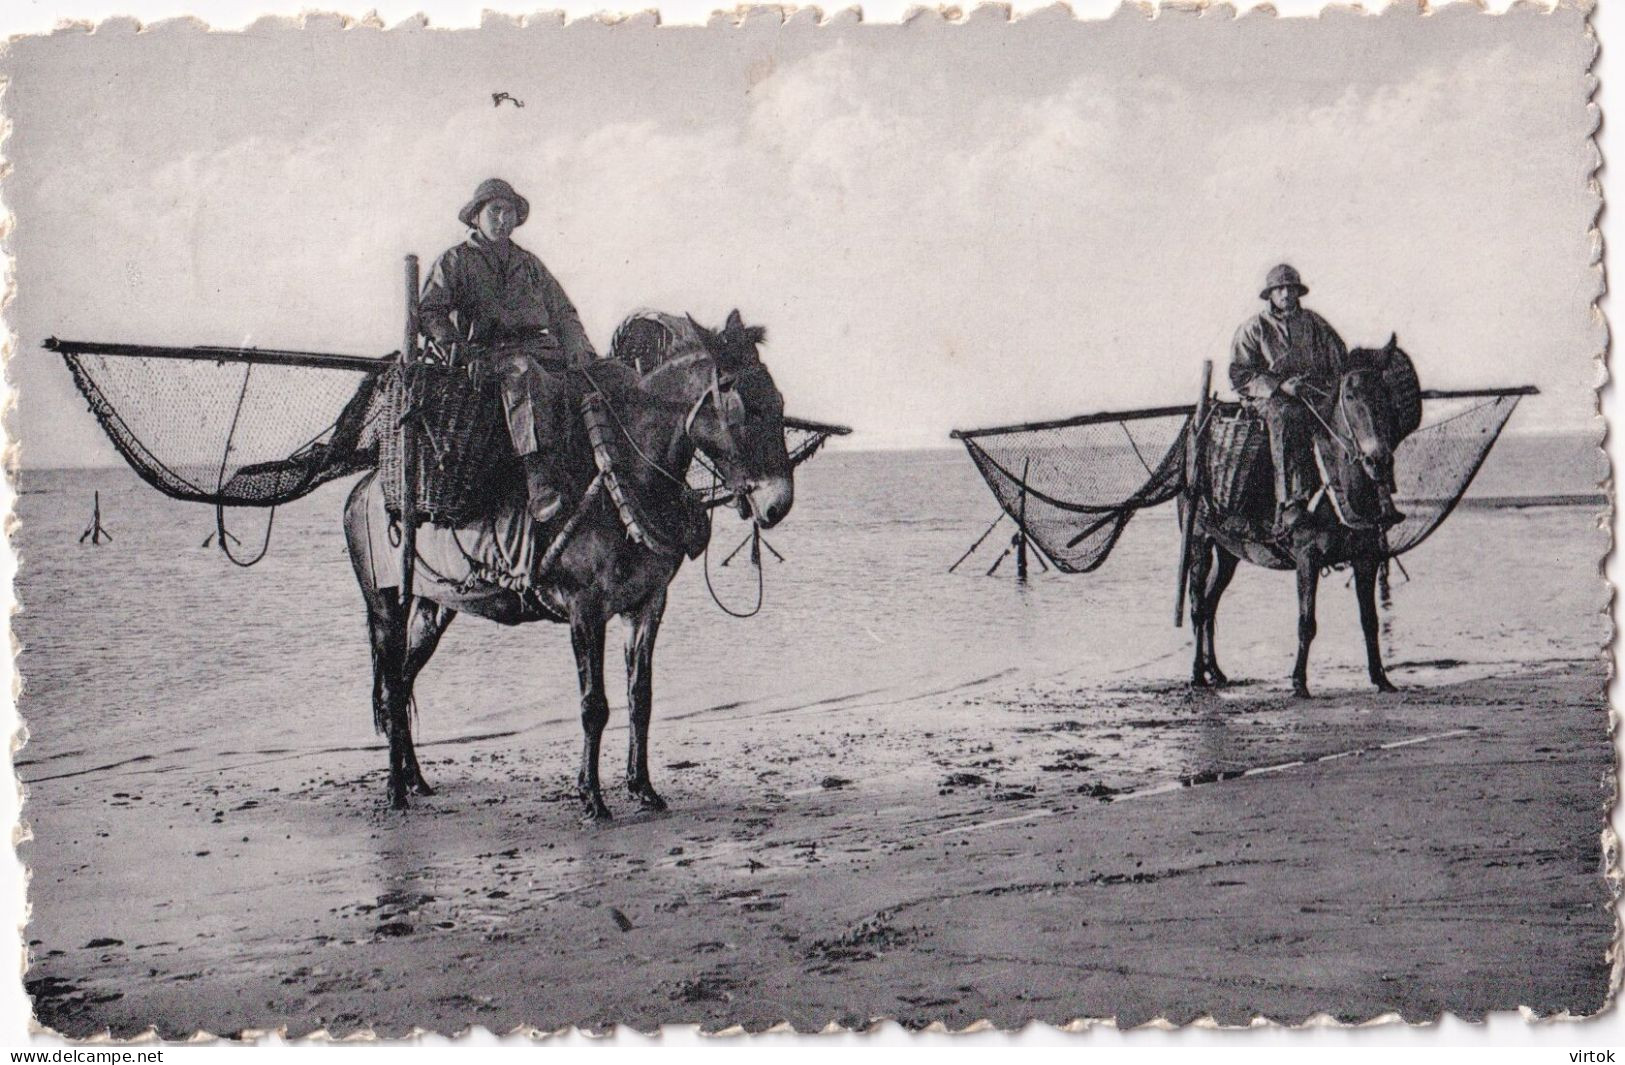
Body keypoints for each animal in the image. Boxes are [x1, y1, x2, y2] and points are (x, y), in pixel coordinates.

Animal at [342, 308, 793, 816]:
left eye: (778, 400)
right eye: (744, 405)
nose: (778, 504)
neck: (624, 478)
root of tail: (367, 485)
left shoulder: (647, 605)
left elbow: (641, 698)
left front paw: (642, 787)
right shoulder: (585, 609)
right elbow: (594, 705)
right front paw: (592, 797)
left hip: (432, 607)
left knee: (402, 683)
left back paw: (415, 780)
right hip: (385, 605)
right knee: (391, 690)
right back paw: (395, 791)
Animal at [1183, 334, 1410, 699]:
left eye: (1385, 394)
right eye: (1349, 395)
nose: (1378, 460)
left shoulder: (1367, 557)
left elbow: (1370, 621)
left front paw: (1381, 679)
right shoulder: (1307, 556)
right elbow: (1307, 622)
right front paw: (1298, 682)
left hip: (1230, 551)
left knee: (1210, 605)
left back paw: (1215, 672)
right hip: (1199, 542)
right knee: (1196, 606)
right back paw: (1196, 675)